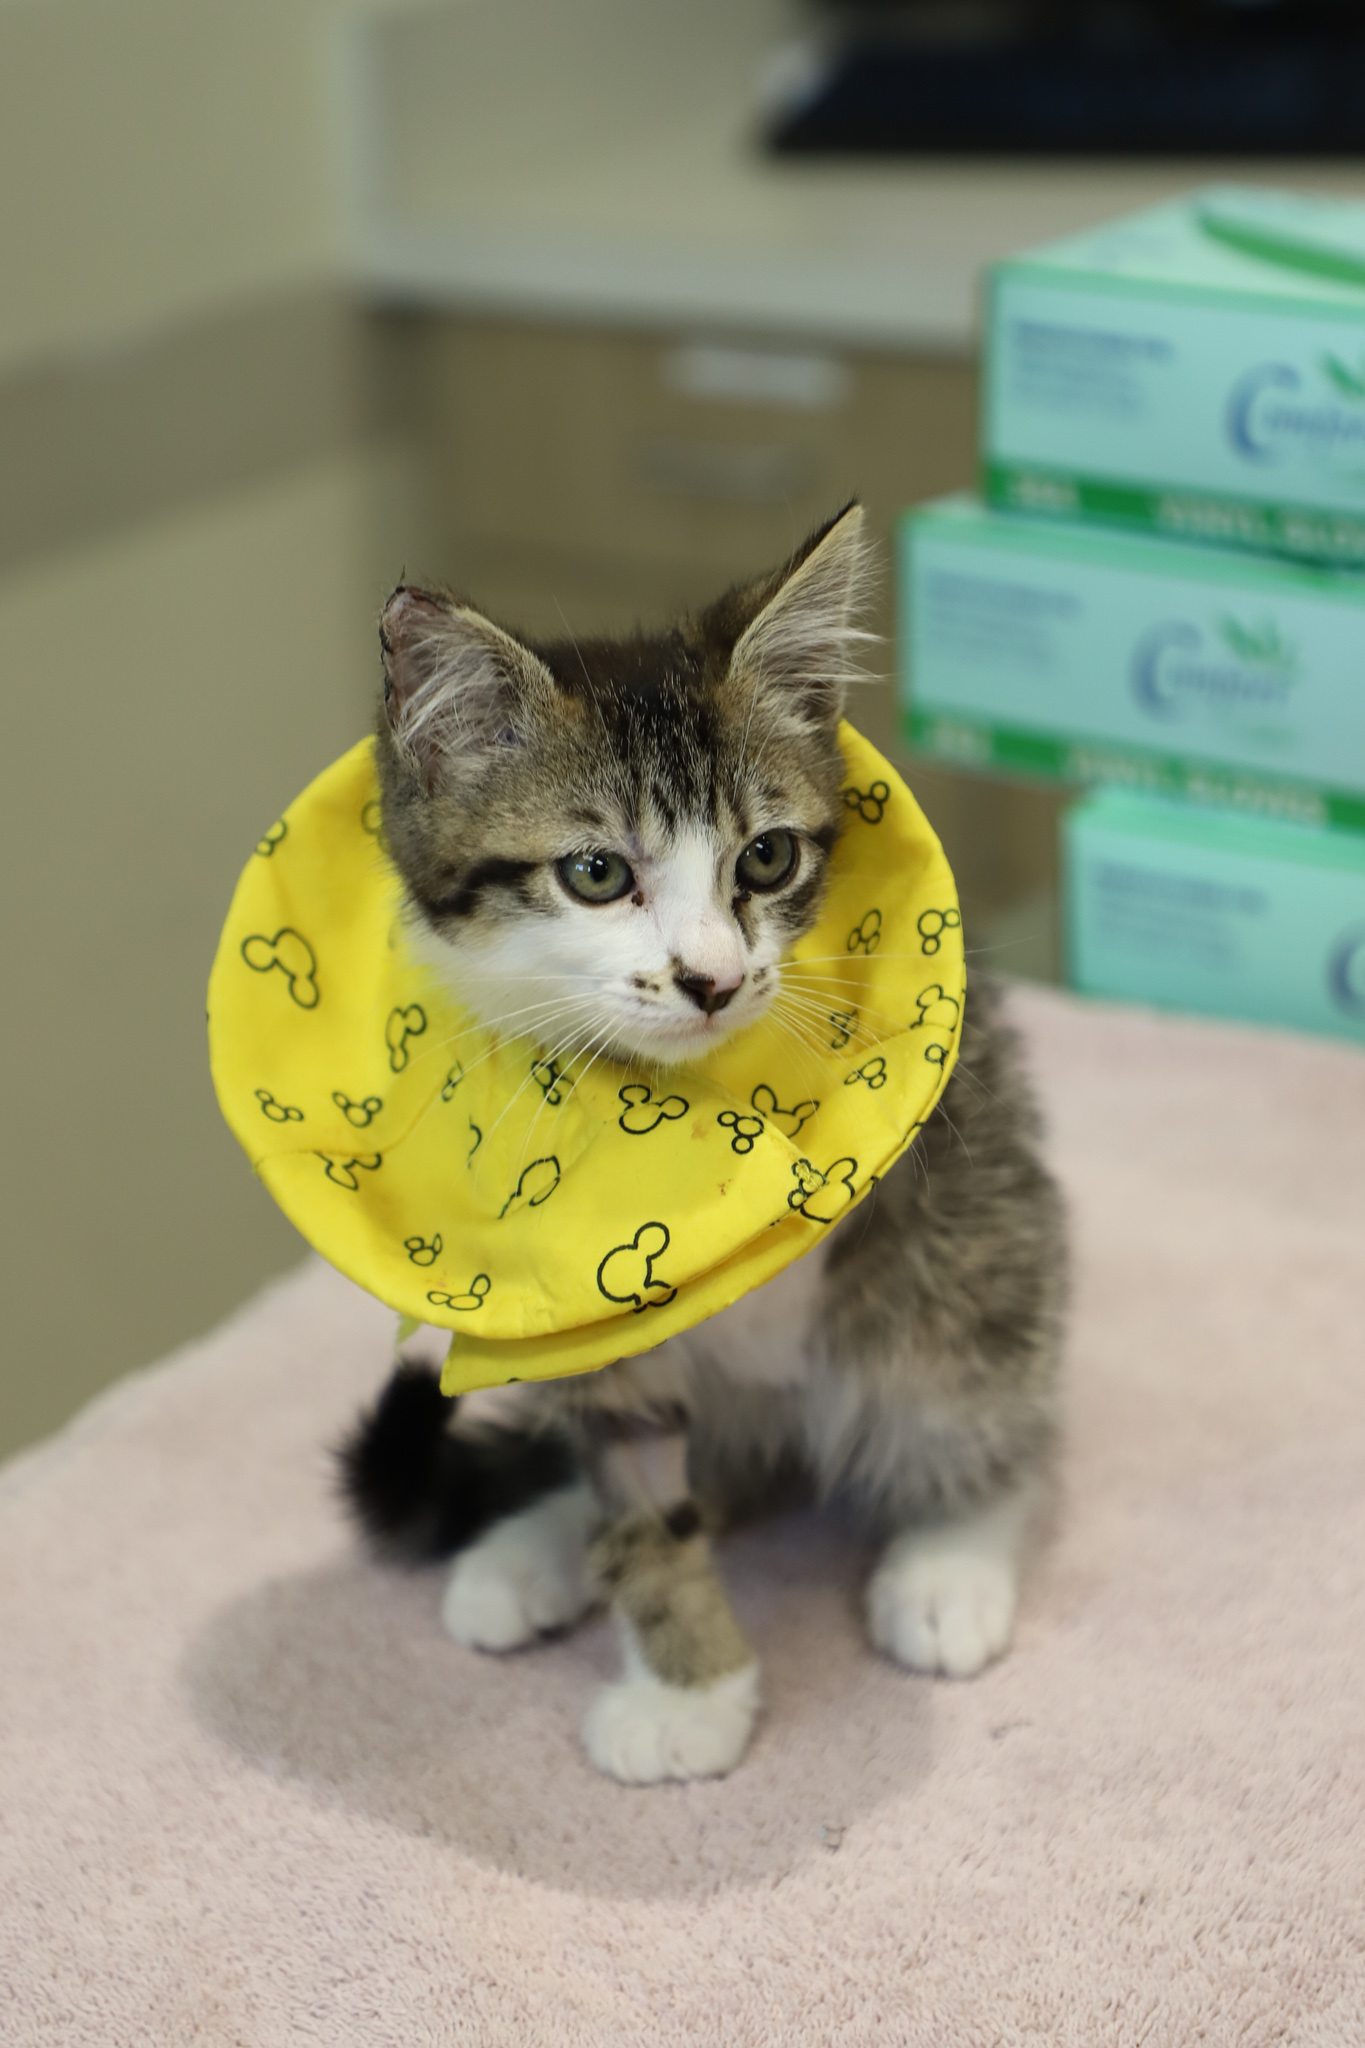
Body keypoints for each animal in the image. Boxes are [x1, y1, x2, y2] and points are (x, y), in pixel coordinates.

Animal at [339, 502, 1066, 1784]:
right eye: (595, 873)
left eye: (765, 857)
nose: (714, 977)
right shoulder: (584, 1317)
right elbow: (641, 1503)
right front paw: (692, 1688)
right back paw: (531, 1547)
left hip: (980, 1227)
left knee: (964, 1370)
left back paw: (951, 1555)